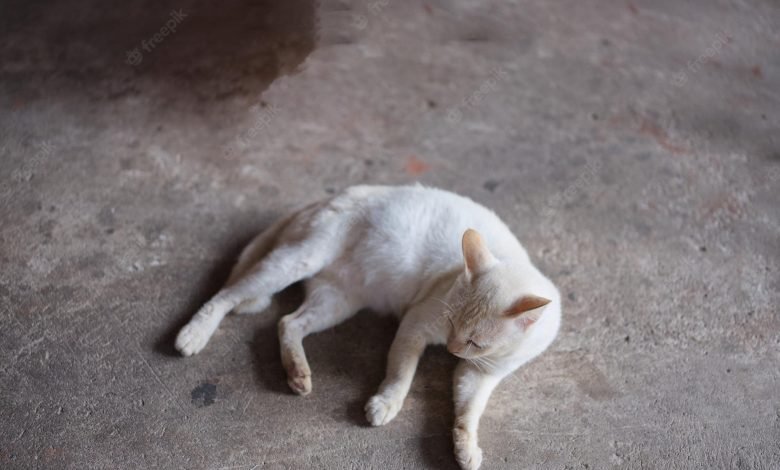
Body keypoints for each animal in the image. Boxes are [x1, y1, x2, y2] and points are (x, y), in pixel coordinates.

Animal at [175, 185, 560, 470]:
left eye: (476, 343)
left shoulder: (481, 373)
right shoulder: (417, 323)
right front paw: (385, 405)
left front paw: (465, 448)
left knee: (288, 322)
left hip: (337, 301)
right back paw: (193, 335)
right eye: (451, 323)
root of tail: (328, 197)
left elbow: (469, 409)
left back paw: (298, 373)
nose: (451, 349)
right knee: (226, 295)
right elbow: (401, 374)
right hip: (297, 261)